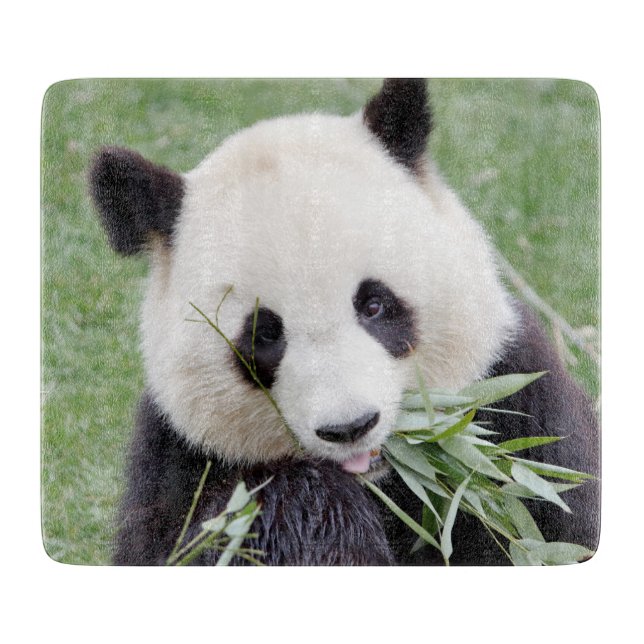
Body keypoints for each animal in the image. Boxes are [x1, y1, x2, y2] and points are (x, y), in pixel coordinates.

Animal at [90, 79, 600, 565]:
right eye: (263, 335)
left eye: (374, 306)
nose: (350, 427)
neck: (386, 481)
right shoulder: (179, 462)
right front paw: (311, 510)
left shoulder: (520, 402)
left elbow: (554, 515)